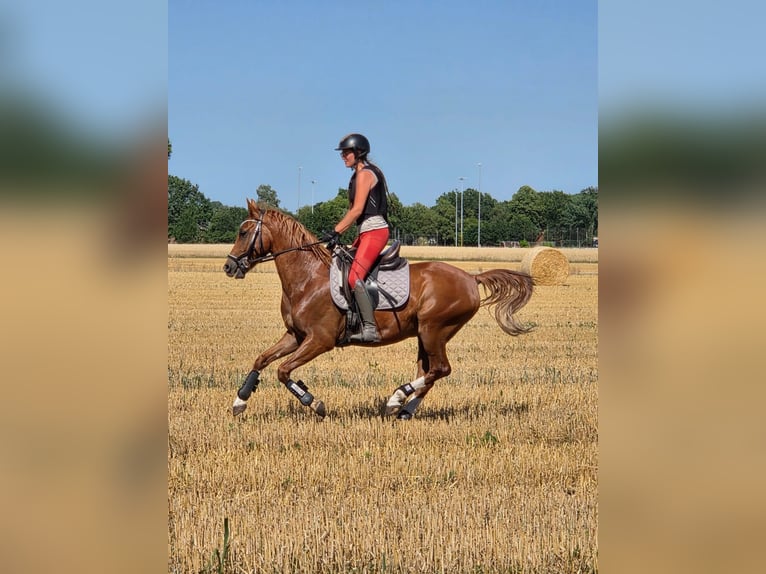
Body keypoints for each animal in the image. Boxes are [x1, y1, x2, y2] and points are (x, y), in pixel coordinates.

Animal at [223, 199, 534, 420]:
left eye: (243, 232)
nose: (228, 266)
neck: (308, 278)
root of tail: (470, 277)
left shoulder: (319, 340)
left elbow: (283, 371)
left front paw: (315, 403)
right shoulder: (295, 336)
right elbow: (262, 360)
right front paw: (240, 401)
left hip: (434, 329)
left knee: (440, 369)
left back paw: (396, 398)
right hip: (425, 335)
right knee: (430, 372)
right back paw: (403, 409)